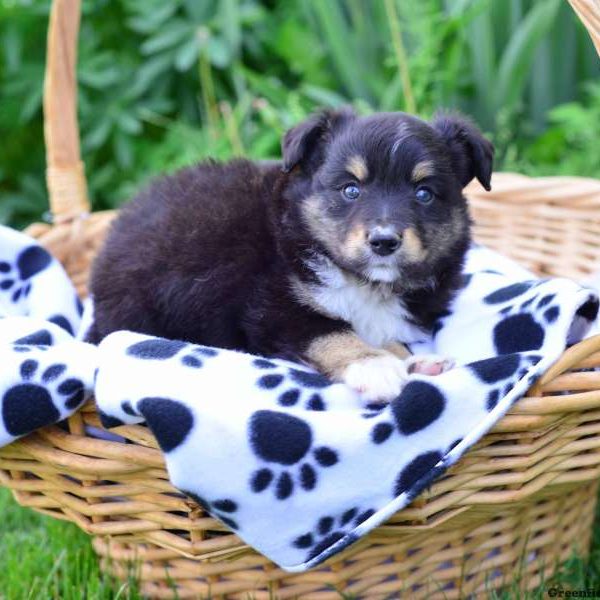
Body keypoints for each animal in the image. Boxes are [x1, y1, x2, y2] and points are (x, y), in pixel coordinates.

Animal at [88, 108, 492, 404]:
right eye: (350, 189)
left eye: (424, 194)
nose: (383, 241)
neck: (363, 282)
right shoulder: (273, 307)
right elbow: (332, 331)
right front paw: (374, 367)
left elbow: (381, 334)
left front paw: (414, 359)